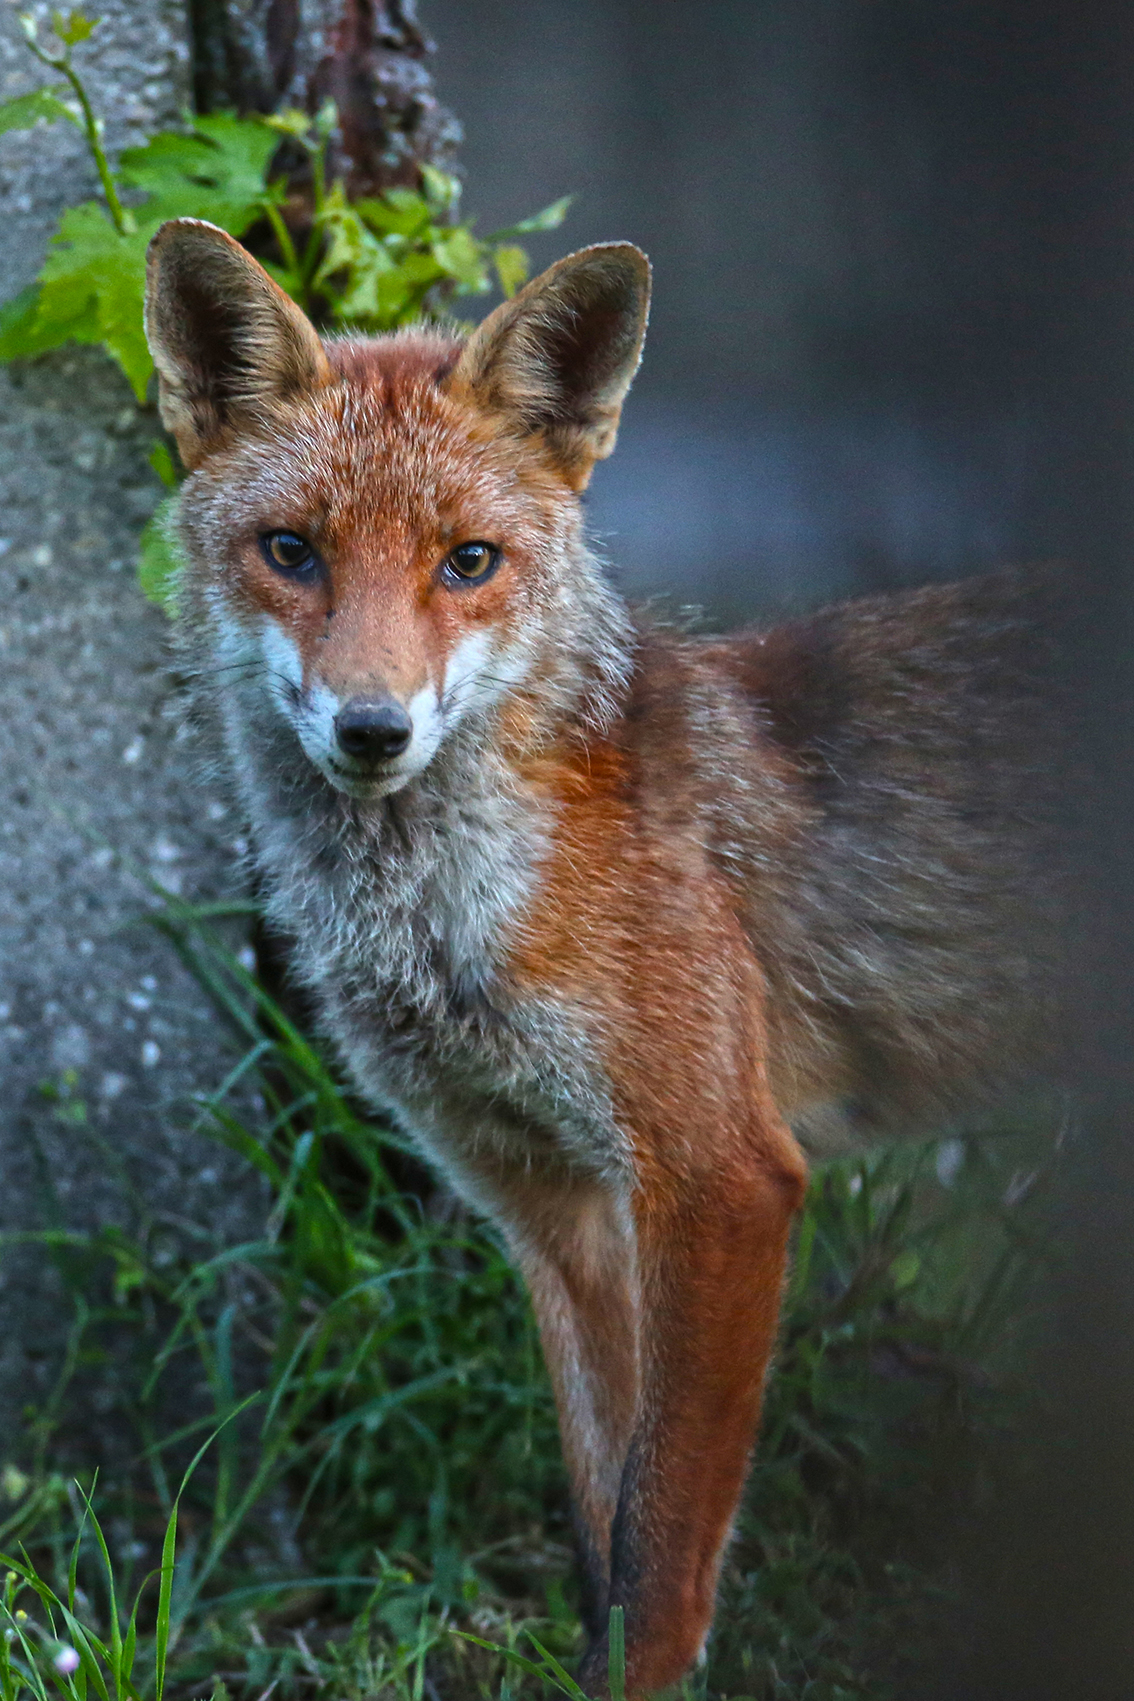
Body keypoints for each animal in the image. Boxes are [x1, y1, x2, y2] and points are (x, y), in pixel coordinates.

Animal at [144, 218, 1055, 1698]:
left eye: (467, 562)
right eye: (291, 551)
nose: (372, 729)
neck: (455, 929)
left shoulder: (723, 1177)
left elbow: (665, 1539)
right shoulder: (549, 1204)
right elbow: (602, 1515)